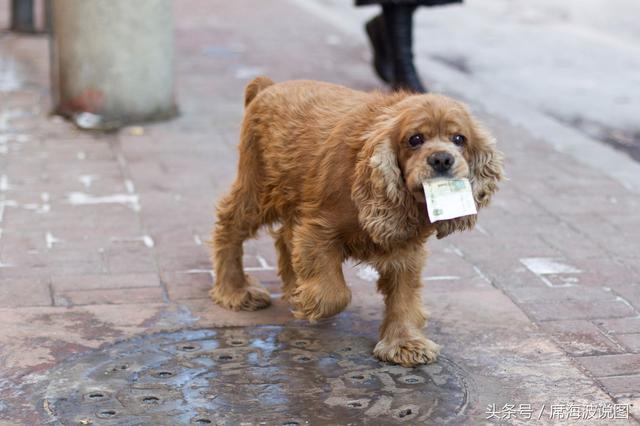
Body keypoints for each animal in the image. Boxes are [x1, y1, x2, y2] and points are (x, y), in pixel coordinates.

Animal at [212, 78, 502, 368]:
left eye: (459, 139)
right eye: (415, 139)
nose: (442, 158)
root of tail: (268, 86)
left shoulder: (406, 248)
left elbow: (404, 295)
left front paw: (404, 343)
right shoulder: (318, 228)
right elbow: (334, 295)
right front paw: (308, 301)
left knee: (284, 237)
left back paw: (291, 286)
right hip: (259, 187)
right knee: (229, 225)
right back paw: (236, 291)